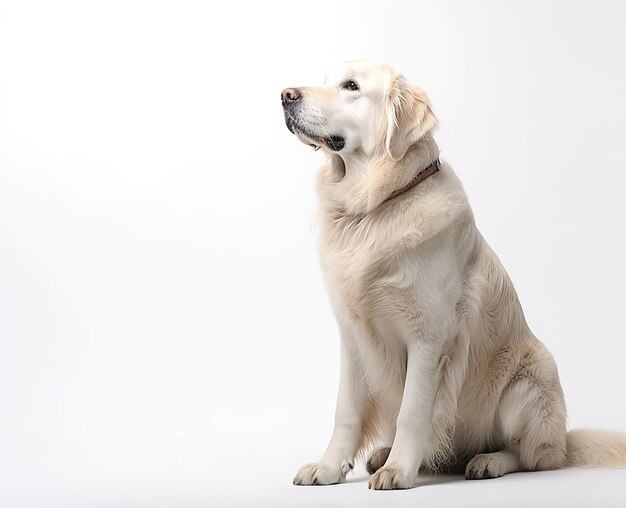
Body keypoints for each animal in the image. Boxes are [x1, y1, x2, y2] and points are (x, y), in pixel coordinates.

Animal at [282, 60, 624, 492]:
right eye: (326, 81)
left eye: (351, 86)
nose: (285, 95)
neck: (376, 206)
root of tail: (563, 439)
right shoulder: (354, 335)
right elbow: (346, 410)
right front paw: (328, 467)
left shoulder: (430, 337)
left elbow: (412, 410)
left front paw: (399, 470)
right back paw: (384, 454)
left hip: (530, 380)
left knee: (533, 457)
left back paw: (487, 461)